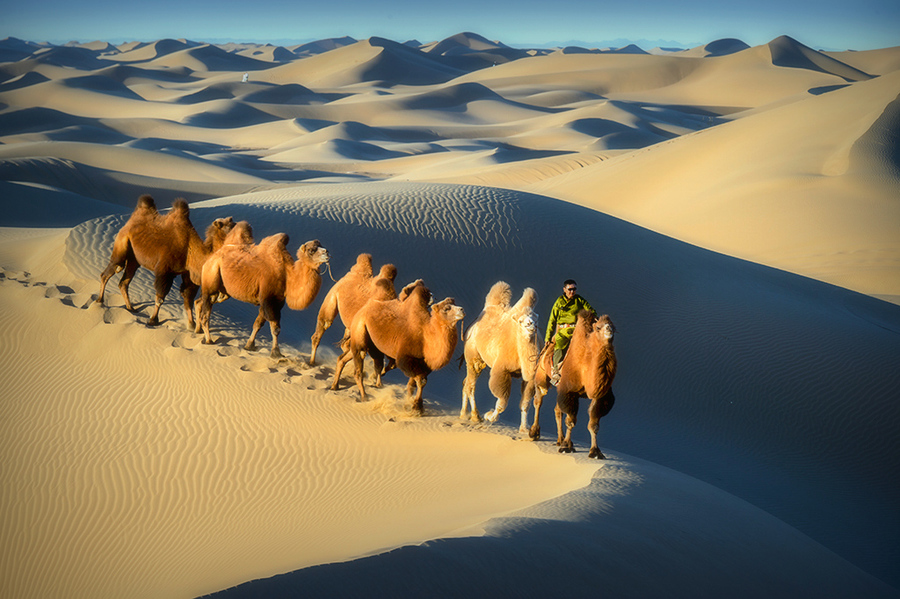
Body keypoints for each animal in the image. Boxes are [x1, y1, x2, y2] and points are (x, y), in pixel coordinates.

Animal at [97, 196, 236, 328]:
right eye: (229, 228)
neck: (191, 249)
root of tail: (130, 221)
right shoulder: (164, 270)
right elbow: (160, 297)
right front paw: (153, 320)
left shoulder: (188, 273)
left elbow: (188, 299)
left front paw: (191, 325)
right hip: (122, 243)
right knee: (111, 270)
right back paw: (100, 301)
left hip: (134, 259)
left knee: (124, 282)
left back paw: (130, 308)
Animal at [195, 221, 328, 358]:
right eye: (311, 250)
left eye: (321, 245)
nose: (327, 252)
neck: (287, 275)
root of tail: (213, 256)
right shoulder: (267, 299)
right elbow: (275, 328)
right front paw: (276, 353)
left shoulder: (277, 302)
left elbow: (258, 324)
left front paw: (249, 346)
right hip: (211, 277)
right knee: (205, 312)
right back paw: (208, 340)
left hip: (223, 291)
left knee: (202, 302)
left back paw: (199, 332)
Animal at [334, 282, 468, 414]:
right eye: (447, 308)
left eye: (455, 304)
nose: (462, 309)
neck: (427, 337)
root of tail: (363, 308)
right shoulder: (407, 359)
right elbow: (421, 381)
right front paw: (417, 408)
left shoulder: (424, 364)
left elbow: (413, 384)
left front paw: (410, 403)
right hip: (360, 329)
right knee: (359, 365)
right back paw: (364, 396)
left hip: (370, 343)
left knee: (348, 358)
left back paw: (336, 386)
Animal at [460, 282, 536, 428]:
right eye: (520, 321)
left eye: (535, 317)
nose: (531, 324)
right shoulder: (502, 370)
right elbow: (502, 401)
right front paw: (489, 416)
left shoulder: (529, 377)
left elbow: (526, 402)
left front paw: (525, 429)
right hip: (473, 356)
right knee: (470, 385)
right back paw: (475, 416)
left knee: (466, 383)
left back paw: (463, 414)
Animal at [536, 312, 620, 458]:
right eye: (598, 327)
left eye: (614, 328)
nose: (609, 330)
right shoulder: (569, 392)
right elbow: (571, 421)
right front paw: (566, 447)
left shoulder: (601, 397)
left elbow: (593, 425)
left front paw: (595, 452)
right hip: (541, 374)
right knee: (539, 398)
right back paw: (534, 432)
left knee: (557, 410)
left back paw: (560, 440)